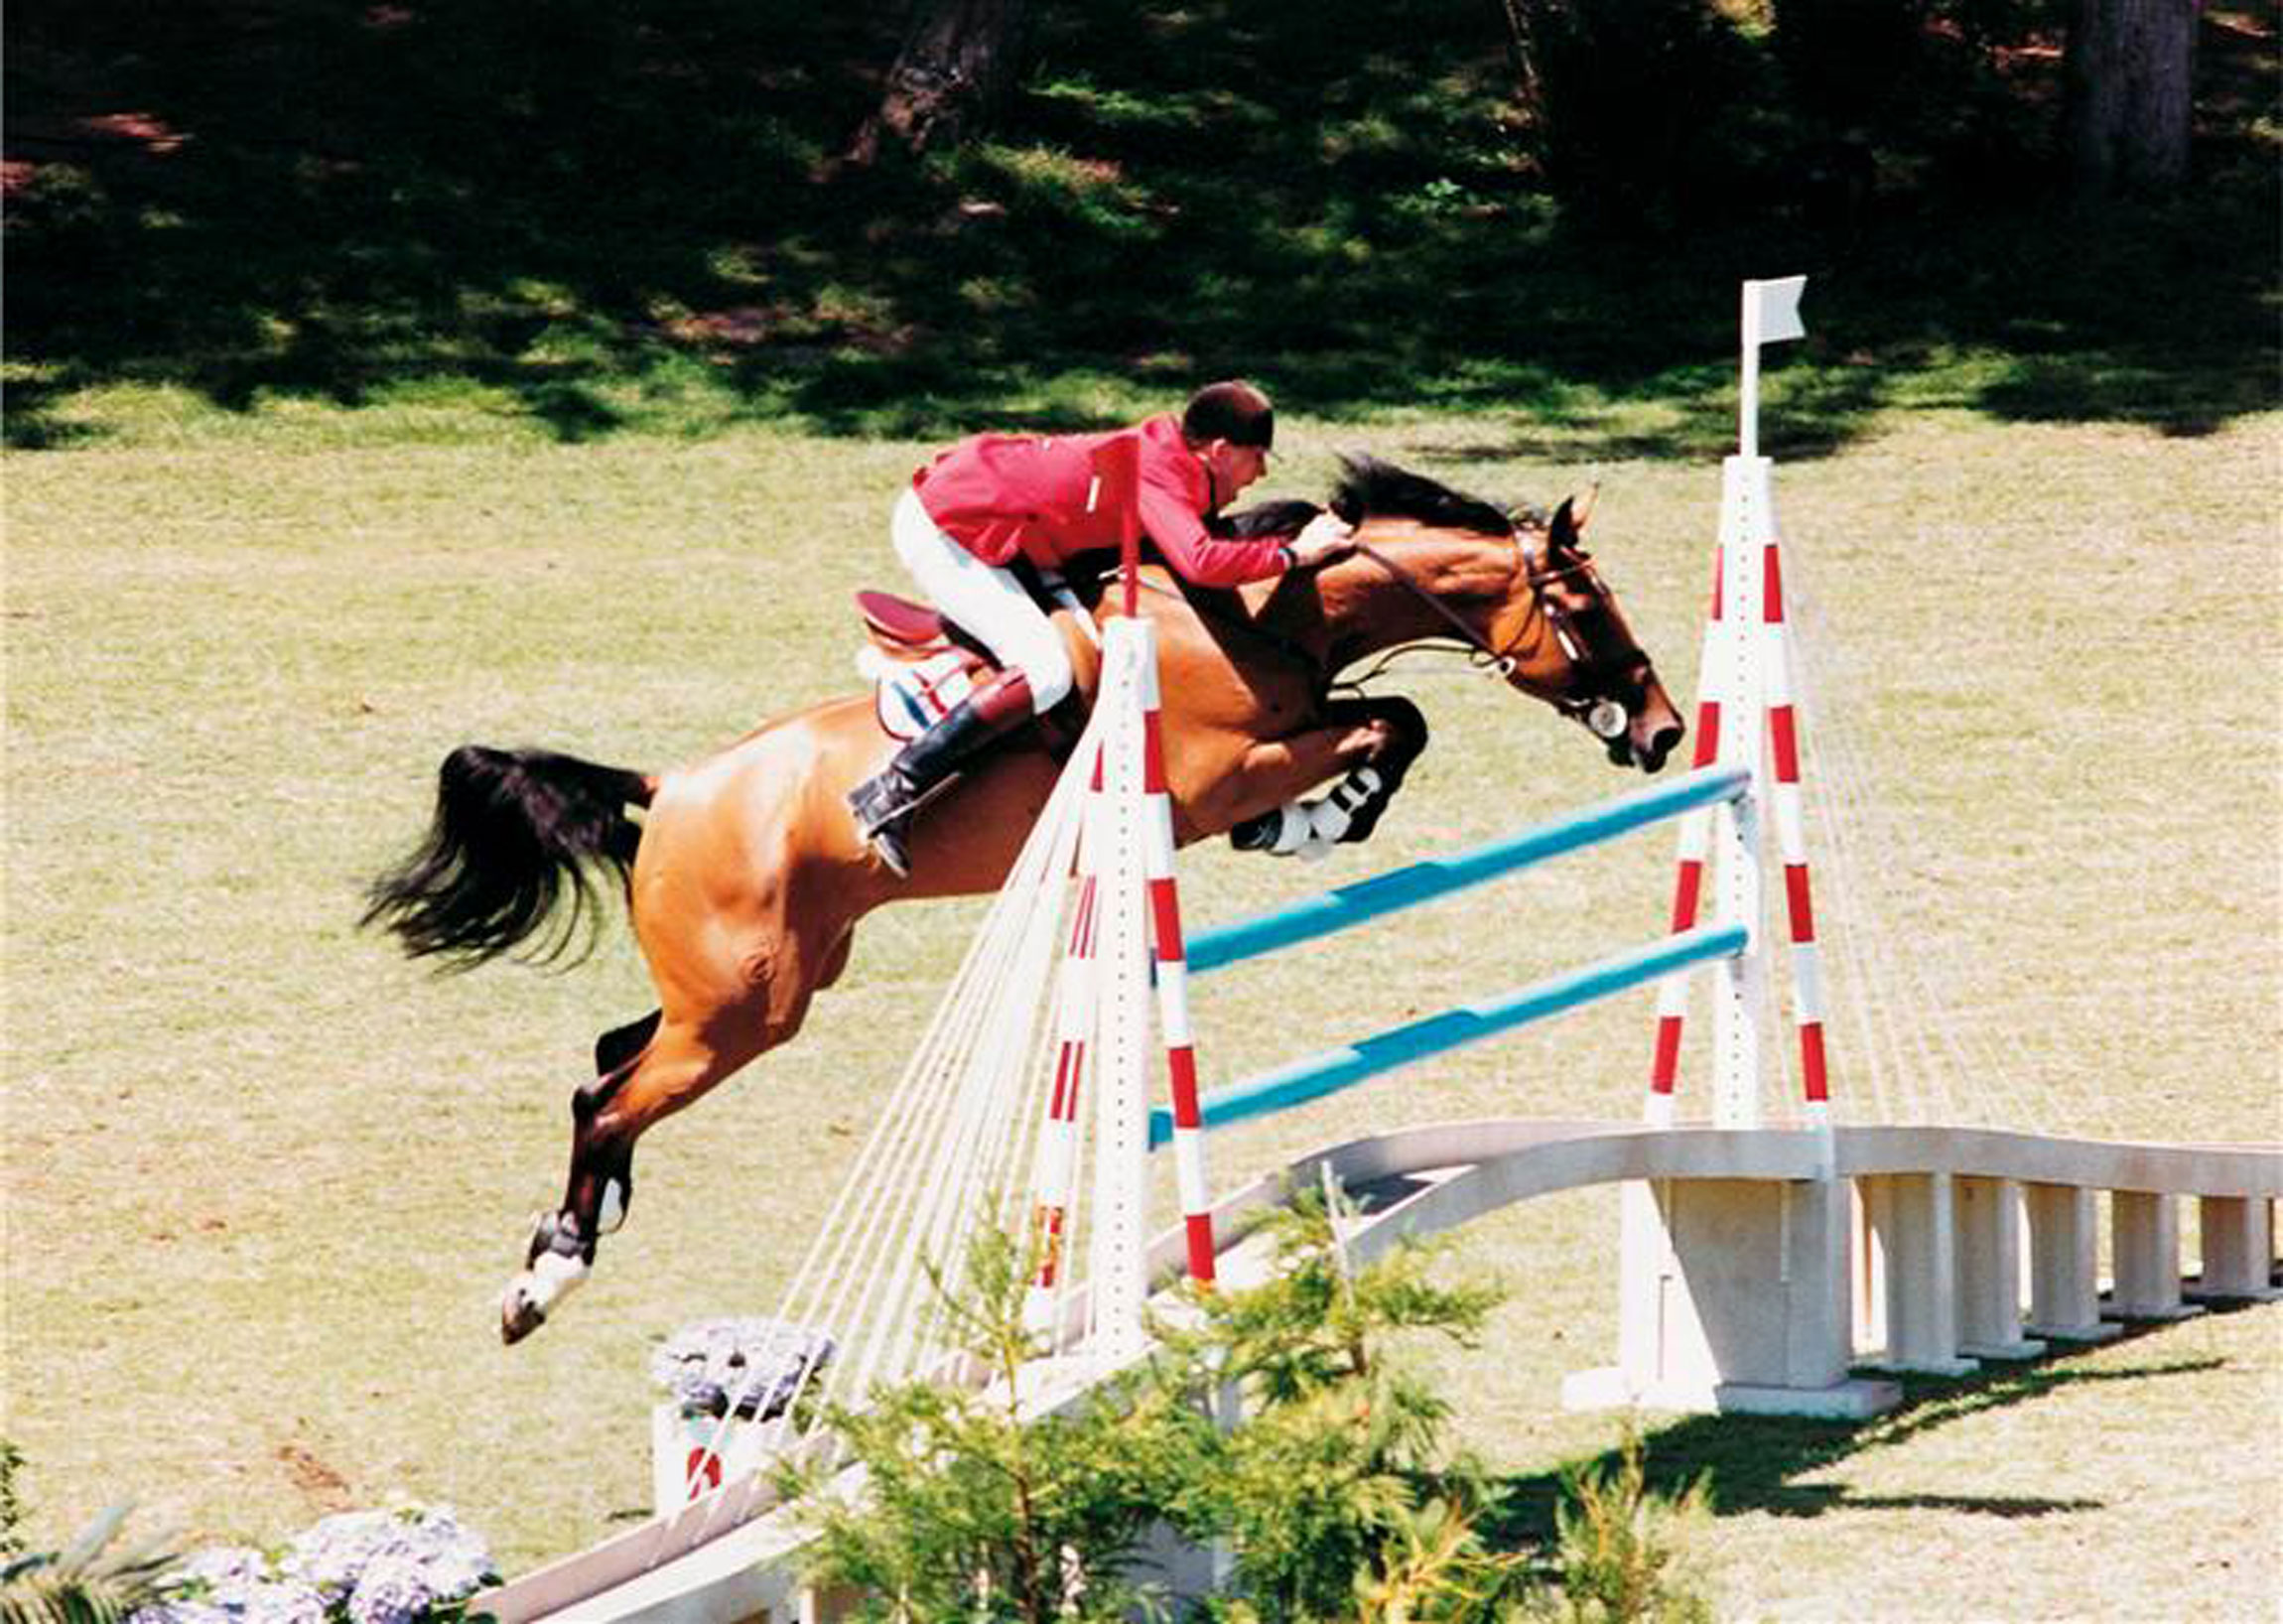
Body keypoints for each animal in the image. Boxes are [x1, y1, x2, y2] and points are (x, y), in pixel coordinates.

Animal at [362, 456, 1686, 1343]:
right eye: (1586, 608)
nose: (1665, 729)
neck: (1259, 615)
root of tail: (670, 786)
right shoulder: (1212, 773)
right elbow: (1388, 722)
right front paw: (1321, 817)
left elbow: (1391, 718)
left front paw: (1323, 816)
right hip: (742, 1009)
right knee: (605, 1096)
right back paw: (546, 1277)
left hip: (766, 979)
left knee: (608, 1057)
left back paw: (577, 1230)